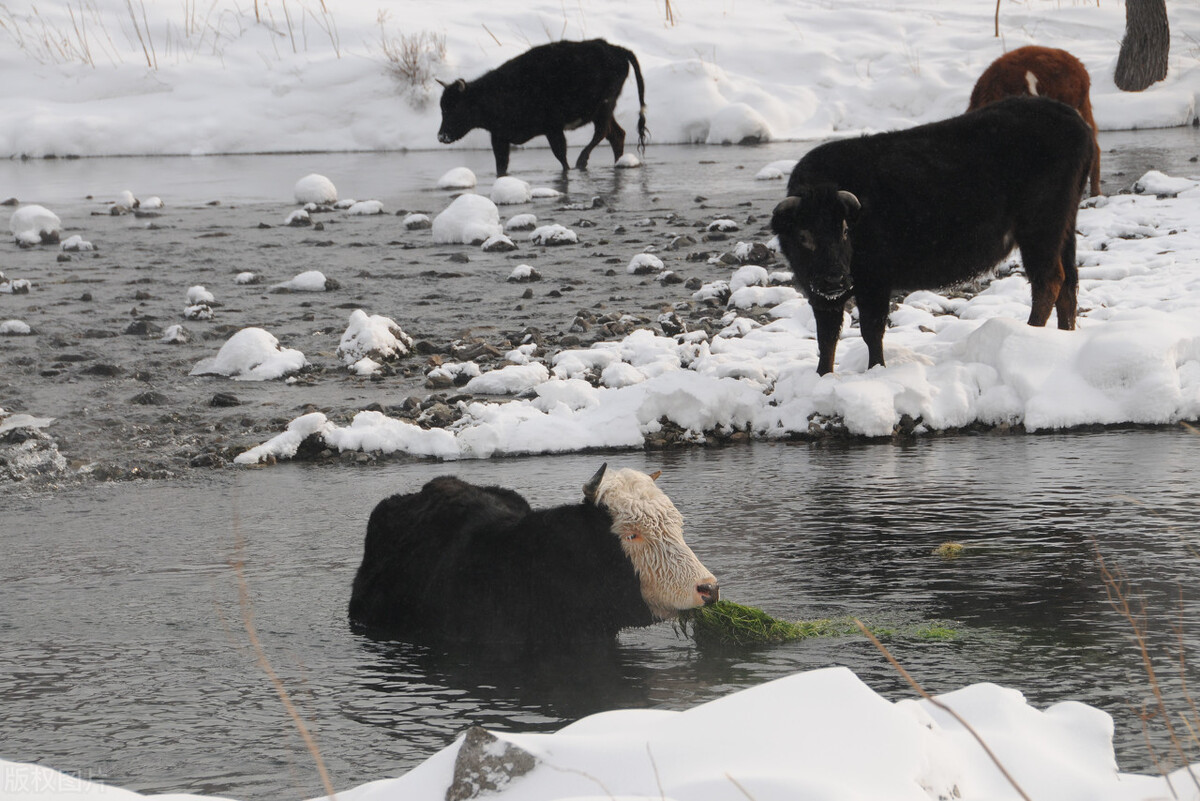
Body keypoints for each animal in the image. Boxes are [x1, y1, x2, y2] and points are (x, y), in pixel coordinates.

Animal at [436, 38, 648, 176]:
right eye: (442, 107)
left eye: (455, 107)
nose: (441, 136)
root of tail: (617, 49)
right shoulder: (500, 137)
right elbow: (501, 164)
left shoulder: (553, 129)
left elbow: (561, 156)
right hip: (603, 111)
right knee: (616, 134)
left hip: (603, 107)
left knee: (603, 132)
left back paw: (582, 161)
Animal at [768, 95, 1099, 376]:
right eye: (803, 234)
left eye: (846, 229)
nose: (835, 279)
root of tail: (1074, 120)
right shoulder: (821, 294)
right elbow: (826, 338)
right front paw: (822, 375)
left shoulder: (875, 284)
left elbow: (871, 331)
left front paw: (877, 370)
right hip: (1063, 231)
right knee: (1068, 283)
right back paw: (1063, 337)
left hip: (1040, 232)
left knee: (1048, 281)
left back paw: (1029, 331)